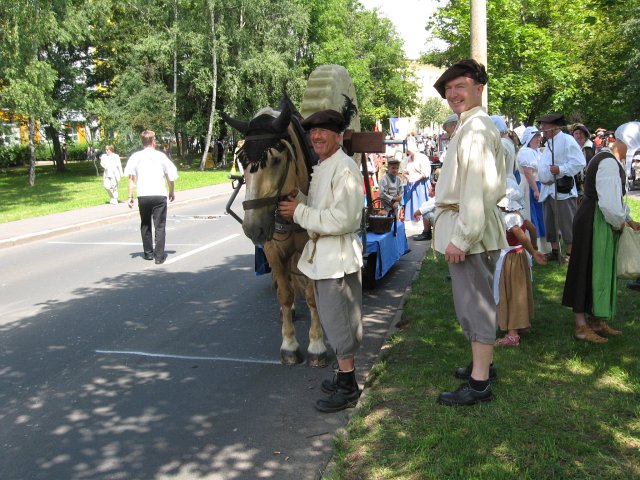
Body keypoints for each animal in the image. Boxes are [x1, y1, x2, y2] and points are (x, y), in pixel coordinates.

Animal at [221, 97, 330, 368]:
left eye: (277, 160)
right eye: (242, 160)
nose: (253, 227)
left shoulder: (310, 252)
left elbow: (311, 296)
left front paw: (316, 345)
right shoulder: (273, 250)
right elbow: (284, 294)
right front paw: (289, 345)